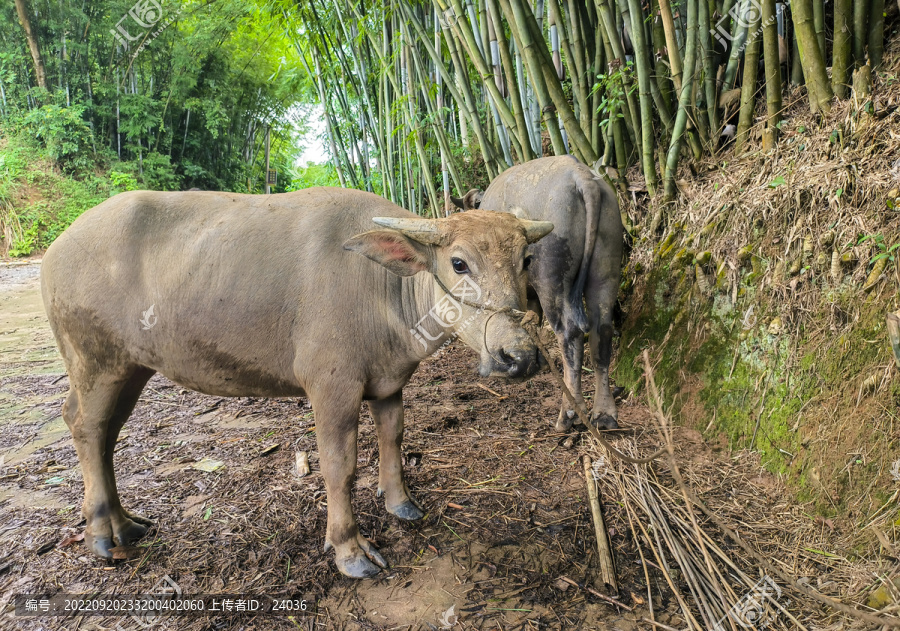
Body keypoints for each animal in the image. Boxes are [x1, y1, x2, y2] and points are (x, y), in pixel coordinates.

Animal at [454, 157, 624, 432]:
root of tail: (580, 175)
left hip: (552, 282)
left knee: (570, 334)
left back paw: (569, 414)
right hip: (605, 274)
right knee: (602, 333)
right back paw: (605, 414)